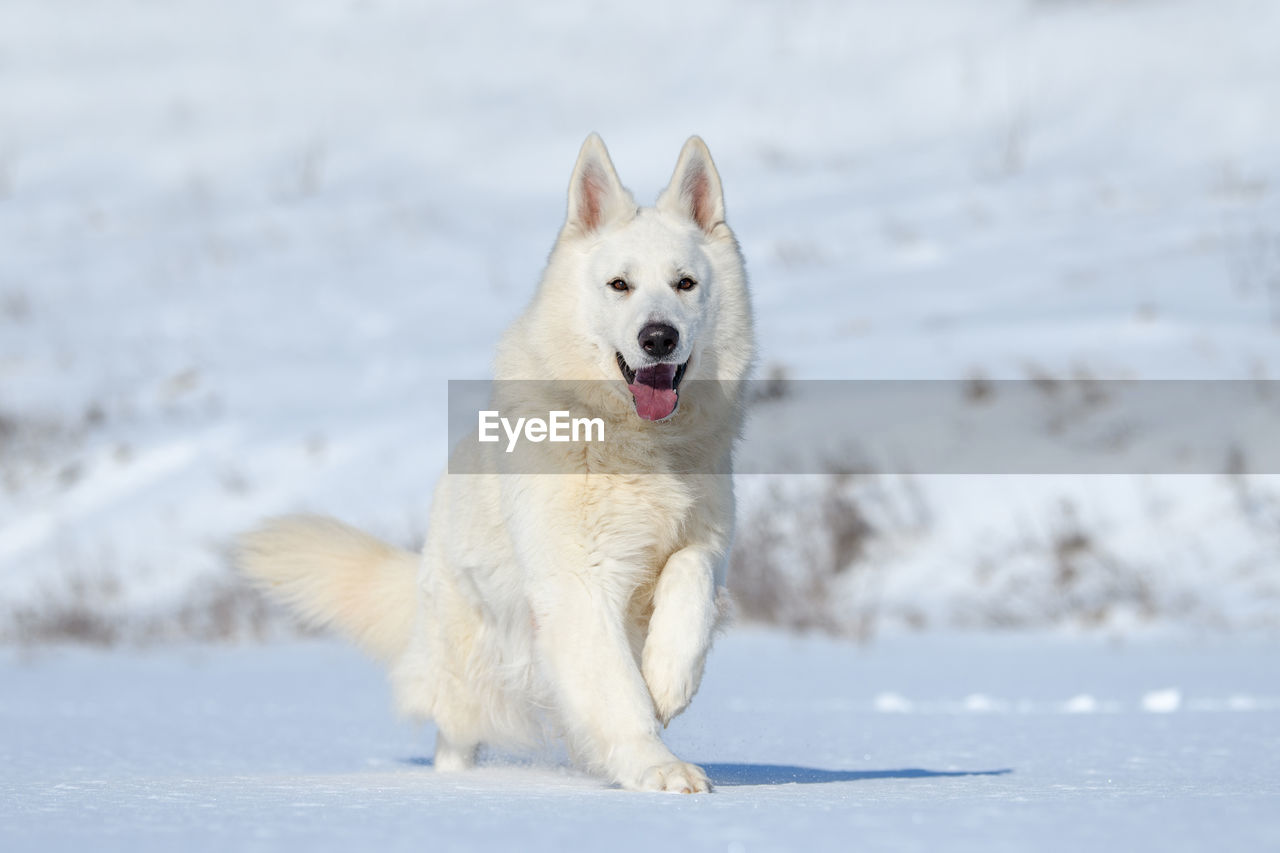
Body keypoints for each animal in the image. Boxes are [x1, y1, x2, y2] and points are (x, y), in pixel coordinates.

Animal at [239, 133, 752, 788]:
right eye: (620, 285)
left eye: (685, 284)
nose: (658, 338)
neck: (634, 445)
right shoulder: (578, 585)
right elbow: (616, 694)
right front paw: (657, 768)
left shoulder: (705, 543)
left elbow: (689, 584)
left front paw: (667, 681)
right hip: (467, 673)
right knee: (455, 735)